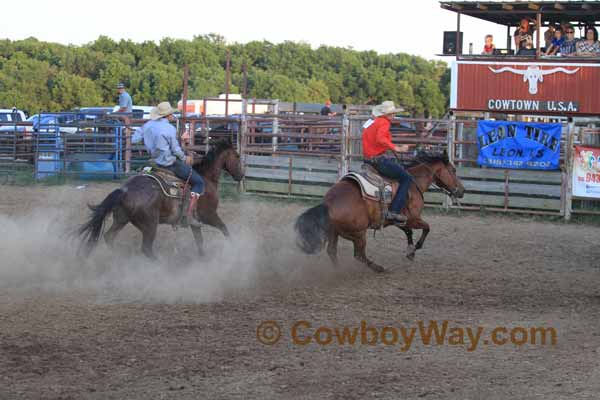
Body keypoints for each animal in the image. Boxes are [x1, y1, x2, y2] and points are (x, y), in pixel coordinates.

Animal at [79, 141, 244, 260]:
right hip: (149, 225)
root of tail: (124, 191)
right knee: (146, 248)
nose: (241, 175)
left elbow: (200, 241)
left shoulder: (195, 221)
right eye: (237, 156)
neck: (206, 178)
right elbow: (224, 229)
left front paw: (203, 258)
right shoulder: (209, 215)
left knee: (109, 237)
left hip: (121, 219)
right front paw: (234, 248)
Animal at [294, 152, 464, 274]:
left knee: (332, 251)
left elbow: (408, 231)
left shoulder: (397, 219)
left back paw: (338, 271)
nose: (462, 191)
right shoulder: (414, 218)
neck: (413, 183)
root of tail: (328, 203)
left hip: (334, 232)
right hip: (358, 233)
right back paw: (379, 268)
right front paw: (414, 249)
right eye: (453, 170)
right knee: (359, 255)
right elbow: (427, 228)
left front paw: (410, 251)